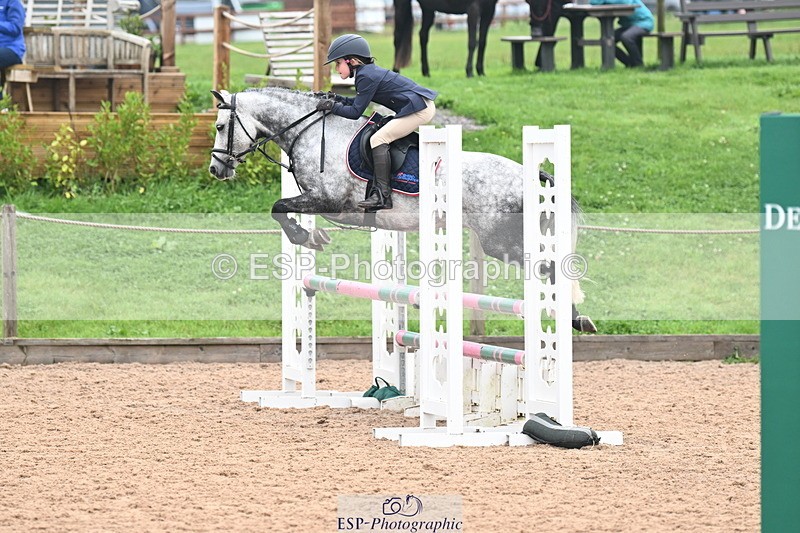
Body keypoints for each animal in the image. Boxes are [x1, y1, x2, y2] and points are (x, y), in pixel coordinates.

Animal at [207, 87, 596, 332]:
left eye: (221, 126)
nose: (216, 169)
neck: (311, 131)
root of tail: (532, 174)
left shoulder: (331, 201)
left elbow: (278, 208)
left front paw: (308, 237)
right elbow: (284, 210)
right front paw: (314, 237)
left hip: (499, 241)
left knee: (548, 267)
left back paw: (572, 317)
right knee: (550, 265)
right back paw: (574, 317)